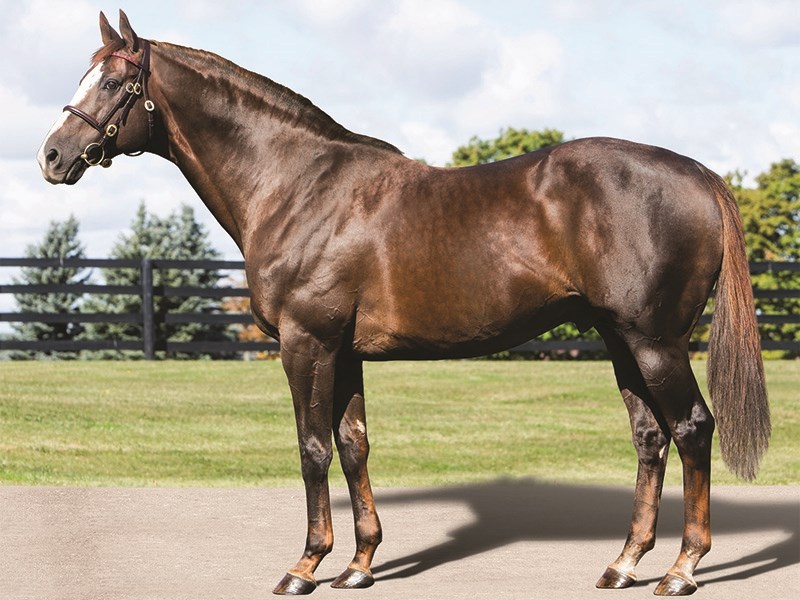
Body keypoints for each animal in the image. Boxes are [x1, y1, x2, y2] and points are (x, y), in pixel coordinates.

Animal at [38, 11, 769, 597]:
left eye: (113, 83)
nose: (52, 156)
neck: (298, 186)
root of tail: (698, 173)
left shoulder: (306, 343)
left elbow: (312, 447)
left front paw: (304, 567)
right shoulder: (344, 351)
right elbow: (354, 444)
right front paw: (359, 564)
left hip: (655, 341)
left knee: (692, 429)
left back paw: (683, 569)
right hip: (621, 339)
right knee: (650, 436)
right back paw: (624, 564)